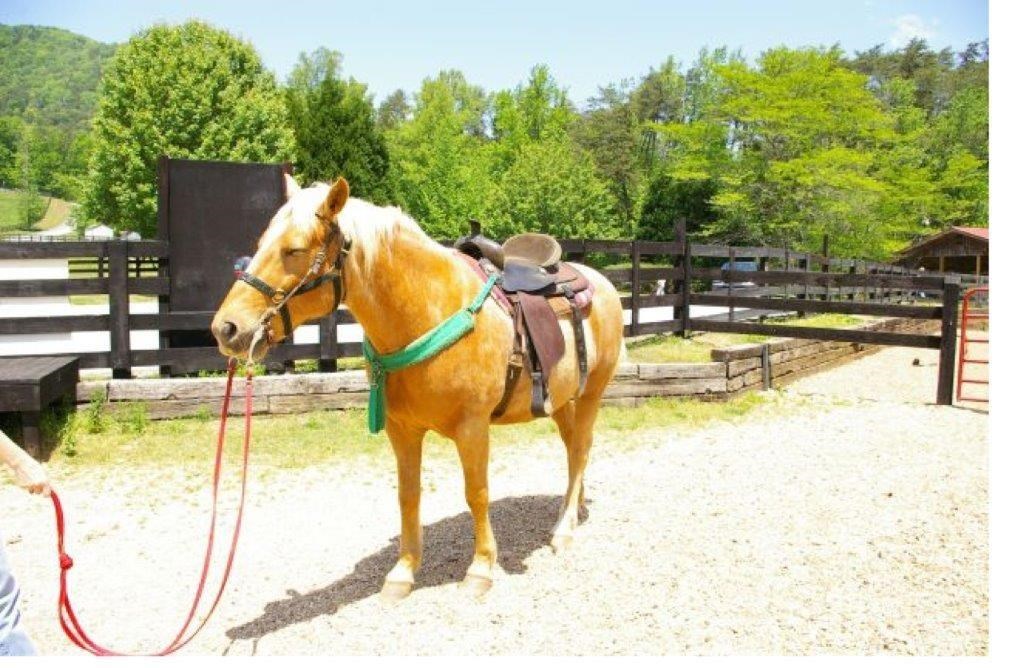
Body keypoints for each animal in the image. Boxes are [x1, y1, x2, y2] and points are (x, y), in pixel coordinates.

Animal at [211, 175, 618, 598]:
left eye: (294, 249)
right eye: (260, 245)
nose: (227, 328)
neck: (429, 311)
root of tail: (600, 280)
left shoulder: (473, 427)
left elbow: (477, 493)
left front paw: (481, 567)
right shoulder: (402, 429)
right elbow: (408, 496)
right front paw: (403, 571)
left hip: (592, 392)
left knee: (580, 449)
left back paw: (564, 529)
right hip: (564, 399)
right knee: (574, 450)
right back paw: (572, 509)